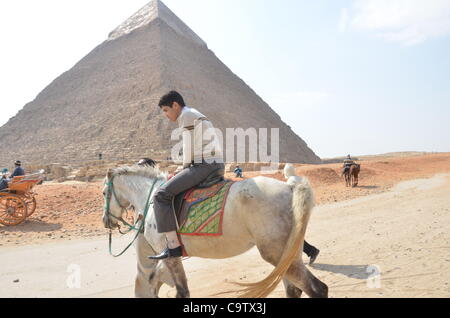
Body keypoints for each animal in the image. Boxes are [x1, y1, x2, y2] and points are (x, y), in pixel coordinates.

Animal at [101, 166, 326, 298]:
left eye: (104, 193)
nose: (106, 221)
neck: (151, 198)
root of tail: (290, 186)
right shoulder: (168, 258)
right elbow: (155, 280)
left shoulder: (170, 255)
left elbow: (181, 291)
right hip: (286, 254)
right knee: (295, 289)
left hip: (275, 252)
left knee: (316, 289)